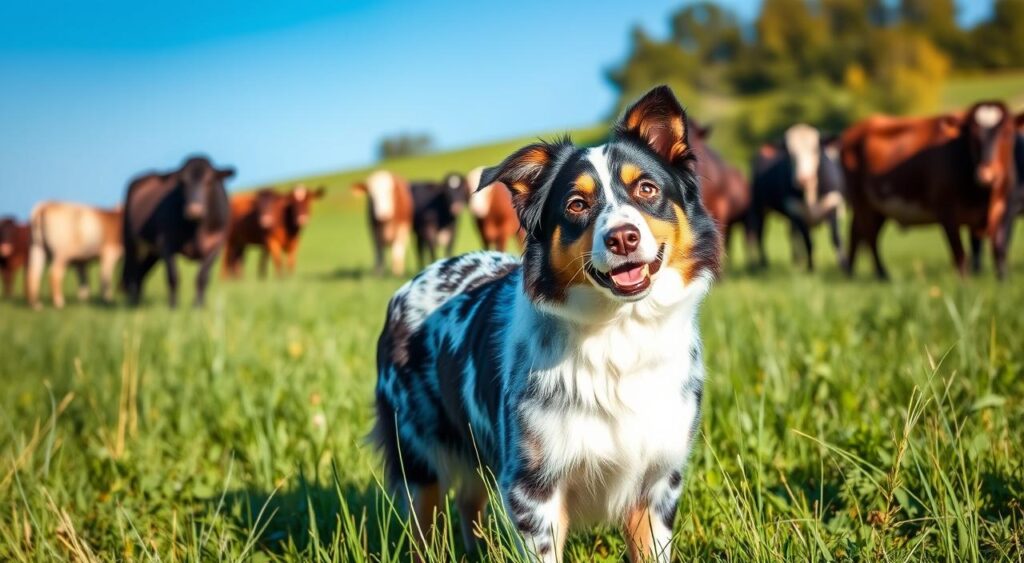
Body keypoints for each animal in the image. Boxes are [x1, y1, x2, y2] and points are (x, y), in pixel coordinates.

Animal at [122, 155, 234, 309]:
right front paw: (173, 306)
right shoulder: (166, 243)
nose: (194, 209)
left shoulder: (216, 246)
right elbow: (173, 276)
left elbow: (203, 277)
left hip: (153, 252)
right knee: (132, 271)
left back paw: (138, 301)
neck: (197, 229)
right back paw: (133, 302)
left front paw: (199, 306)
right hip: (131, 241)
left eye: (209, 180)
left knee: (141, 272)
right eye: (182, 182)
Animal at [370, 84, 720, 563]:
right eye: (577, 204)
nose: (623, 237)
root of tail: (411, 283)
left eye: (647, 188)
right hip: (418, 458)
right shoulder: (532, 488)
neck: (619, 332)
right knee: (425, 520)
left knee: (469, 503)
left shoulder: (657, 481)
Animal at [749, 124, 843, 274]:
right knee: (760, 233)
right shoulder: (797, 212)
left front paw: (844, 267)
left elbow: (836, 238)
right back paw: (764, 263)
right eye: (788, 153)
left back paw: (796, 261)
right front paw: (811, 268)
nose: (803, 179)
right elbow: (808, 242)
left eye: (815, 149)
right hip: (760, 206)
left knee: (792, 235)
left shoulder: (832, 204)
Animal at [839, 103, 1015, 280]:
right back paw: (881, 274)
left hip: (876, 208)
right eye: (972, 135)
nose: (987, 174)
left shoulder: (1000, 209)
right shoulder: (947, 212)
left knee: (858, 232)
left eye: (1006, 133)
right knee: (869, 236)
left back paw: (852, 272)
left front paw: (1002, 279)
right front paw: (964, 283)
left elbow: (999, 248)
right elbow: (959, 254)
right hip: (862, 202)